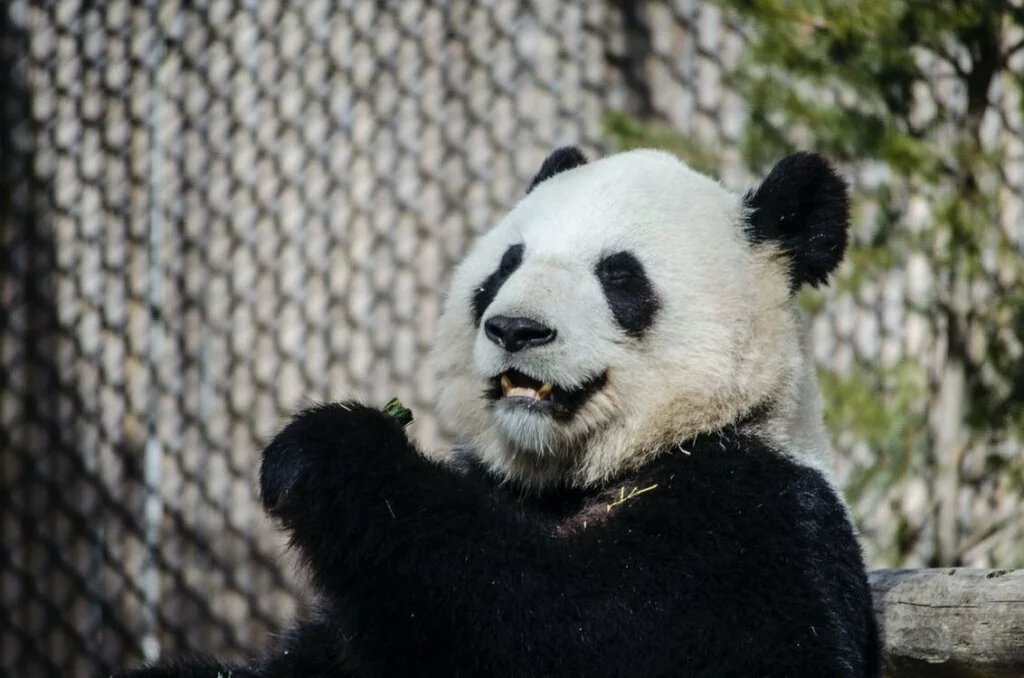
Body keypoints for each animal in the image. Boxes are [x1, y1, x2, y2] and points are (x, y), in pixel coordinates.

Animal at [119, 148, 879, 677]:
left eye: (619, 276)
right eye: (504, 266)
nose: (516, 329)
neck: (581, 475)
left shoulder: (753, 524)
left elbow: (557, 625)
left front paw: (330, 453)